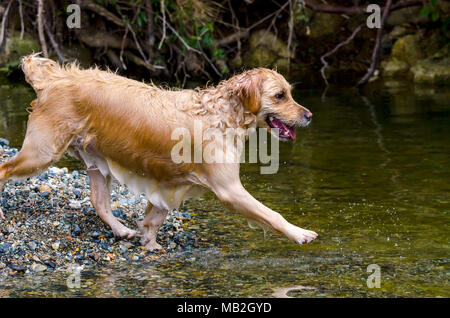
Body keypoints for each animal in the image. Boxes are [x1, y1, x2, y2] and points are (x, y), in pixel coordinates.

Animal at [0, 54, 316, 251]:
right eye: (279, 96)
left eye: (290, 92)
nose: (310, 115)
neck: (223, 114)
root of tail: (54, 79)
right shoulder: (228, 188)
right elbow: (271, 214)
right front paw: (300, 233)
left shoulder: (168, 181)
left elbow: (154, 218)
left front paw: (149, 243)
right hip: (42, 152)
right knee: (5, 169)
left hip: (95, 159)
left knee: (98, 201)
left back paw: (121, 229)